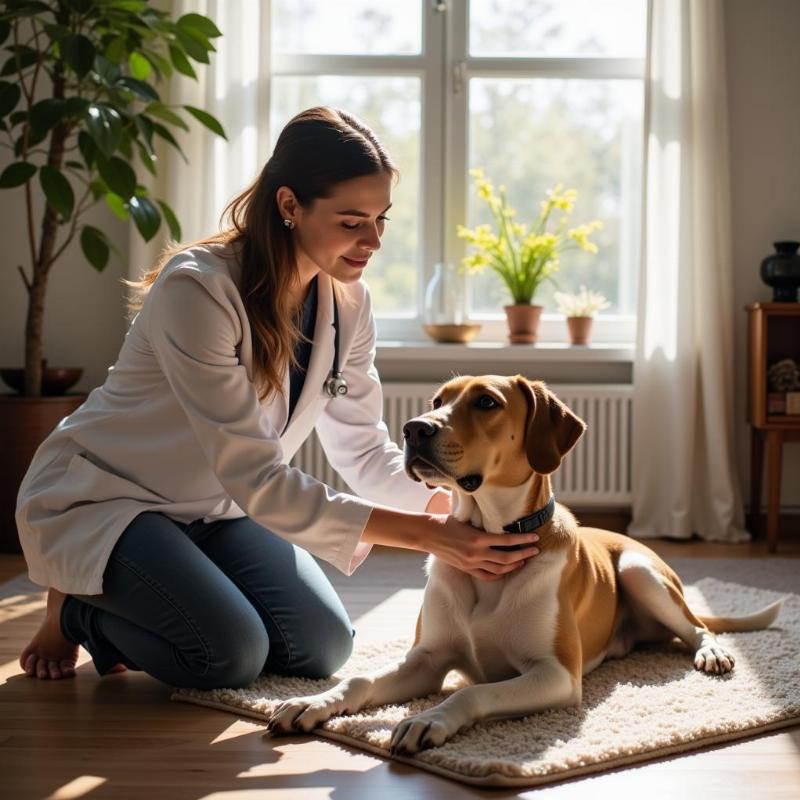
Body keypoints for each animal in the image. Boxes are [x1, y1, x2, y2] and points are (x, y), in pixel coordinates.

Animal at [266, 376, 784, 756]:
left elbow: (473, 692)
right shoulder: (427, 660)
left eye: (486, 402)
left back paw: (711, 653)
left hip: (640, 572)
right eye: (438, 400)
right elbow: (359, 678)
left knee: (697, 626)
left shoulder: (555, 674)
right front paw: (313, 700)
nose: (414, 428)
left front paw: (427, 719)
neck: (493, 540)